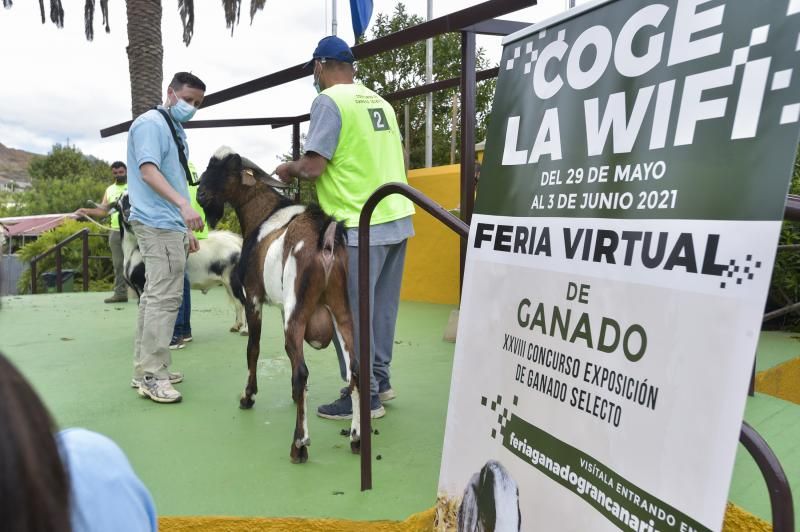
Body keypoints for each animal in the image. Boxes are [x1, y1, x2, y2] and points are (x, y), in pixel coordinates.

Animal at [115, 192, 247, 332]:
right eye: (119, 203)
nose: (128, 213)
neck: (134, 250)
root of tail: (238, 243)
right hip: (228, 283)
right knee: (238, 303)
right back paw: (236, 326)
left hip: (233, 280)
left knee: (243, 301)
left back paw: (244, 330)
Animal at [197, 145, 362, 462]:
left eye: (228, 169)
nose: (200, 196)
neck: (264, 214)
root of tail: (325, 240)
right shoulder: (283, 306)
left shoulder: (254, 297)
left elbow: (253, 348)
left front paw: (247, 396)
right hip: (342, 309)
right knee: (356, 369)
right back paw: (357, 439)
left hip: (296, 313)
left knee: (301, 371)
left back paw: (299, 445)